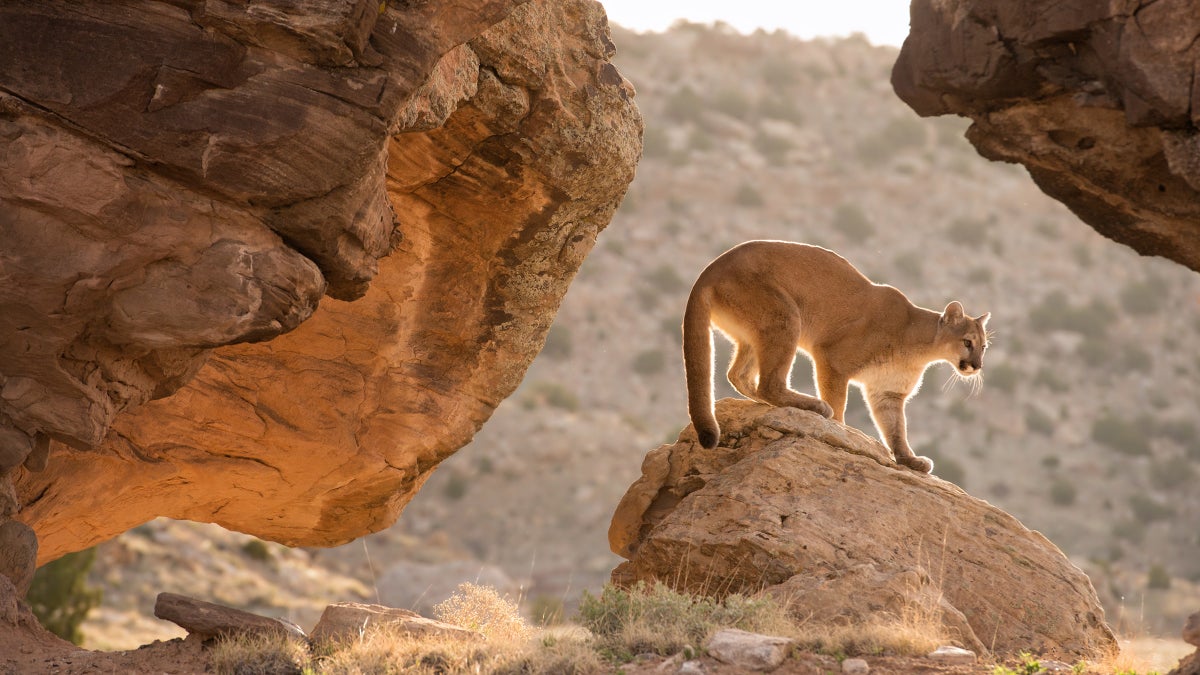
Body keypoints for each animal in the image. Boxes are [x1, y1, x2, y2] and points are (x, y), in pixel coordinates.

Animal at [681, 239, 988, 470]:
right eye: (967, 342)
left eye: (984, 346)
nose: (976, 366)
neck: (920, 348)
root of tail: (711, 267)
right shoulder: (832, 358)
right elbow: (838, 401)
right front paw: (840, 430)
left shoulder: (887, 393)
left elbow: (896, 429)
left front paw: (909, 460)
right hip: (786, 317)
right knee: (769, 383)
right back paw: (814, 406)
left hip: (756, 332)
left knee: (740, 375)